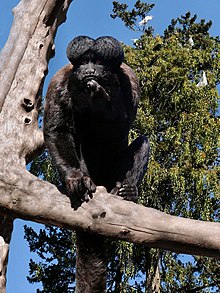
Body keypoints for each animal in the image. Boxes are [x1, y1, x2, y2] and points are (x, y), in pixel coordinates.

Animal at [43, 35, 150, 290]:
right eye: (84, 62)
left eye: (98, 62)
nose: (89, 71)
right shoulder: (60, 81)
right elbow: (57, 129)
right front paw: (74, 177)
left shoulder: (131, 80)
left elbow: (122, 127)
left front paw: (100, 97)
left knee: (143, 142)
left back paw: (126, 192)